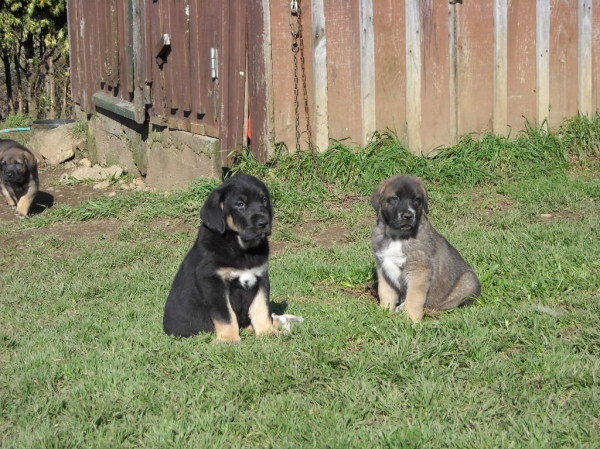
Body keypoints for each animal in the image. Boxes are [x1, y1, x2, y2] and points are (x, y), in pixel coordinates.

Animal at [163, 173, 278, 342]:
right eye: (240, 204)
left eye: (264, 200)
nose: (264, 222)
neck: (240, 248)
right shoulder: (213, 282)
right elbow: (226, 315)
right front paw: (229, 339)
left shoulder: (261, 277)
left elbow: (261, 309)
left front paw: (267, 332)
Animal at [370, 172, 482, 322]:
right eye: (395, 198)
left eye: (417, 199)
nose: (408, 215)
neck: (397, 236)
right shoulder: (383, 267)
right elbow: (385, 292)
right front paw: (384, 312)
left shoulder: (419, 272)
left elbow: (414, 298)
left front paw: (412, 321)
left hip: (468, 280)